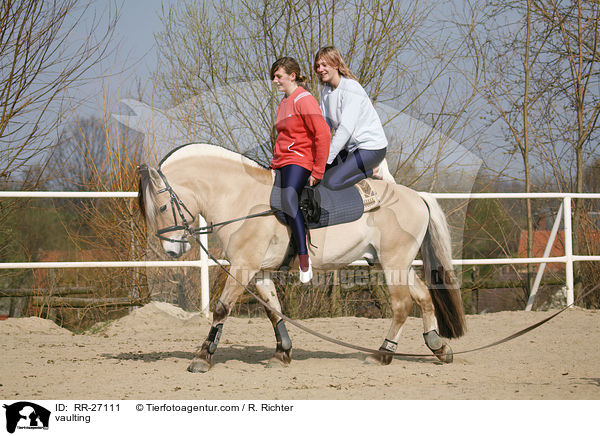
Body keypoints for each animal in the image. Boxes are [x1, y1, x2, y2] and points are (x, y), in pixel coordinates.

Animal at [138, 143, 466, 372]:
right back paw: (438, 346)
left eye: (163, 207)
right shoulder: (260, 271)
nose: (172, 250)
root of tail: (416, 196)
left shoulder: (243, 267)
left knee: (401, 306)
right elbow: (274, 310)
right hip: (396, 263)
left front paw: (202, 357)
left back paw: (383, 354)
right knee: (423, 297)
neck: (241, 197)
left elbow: (221, 309)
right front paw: (282, 352)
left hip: (394, 264)